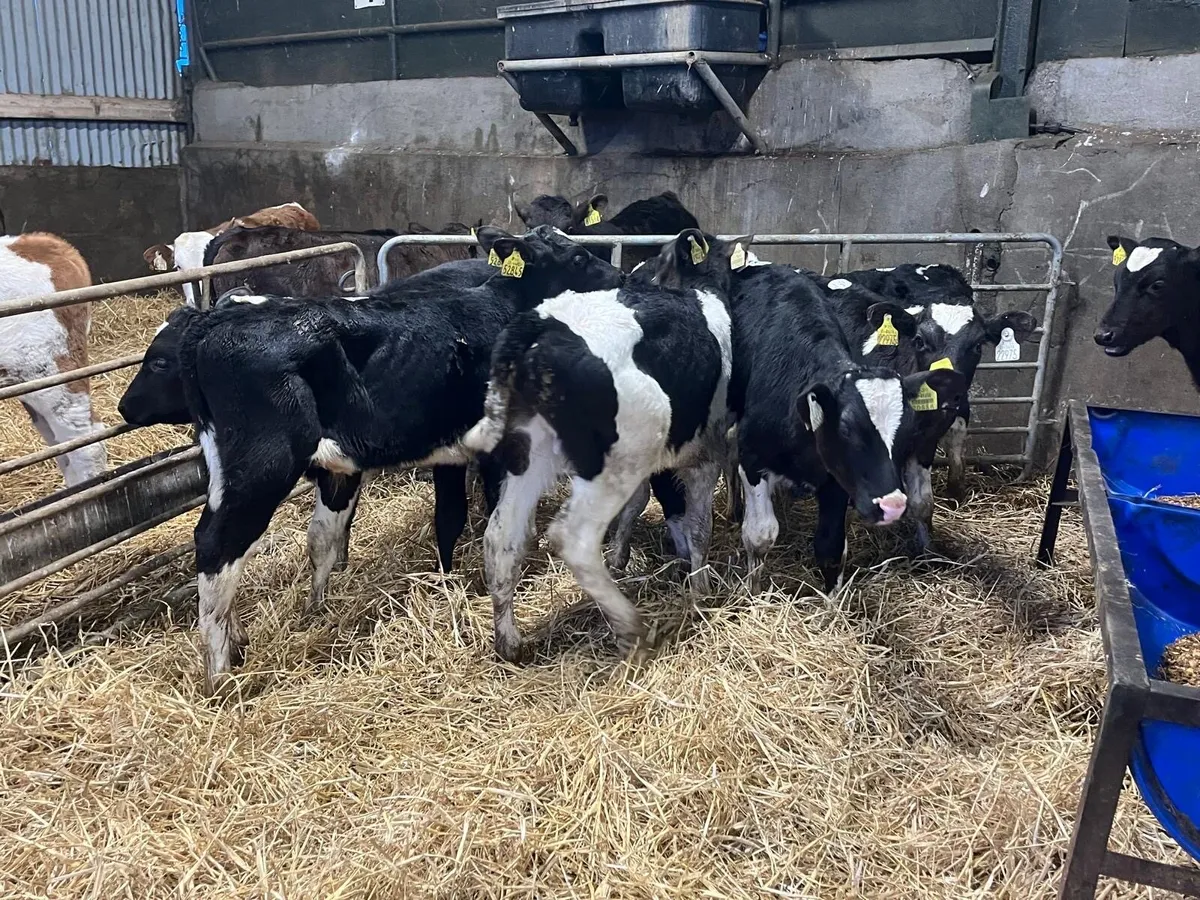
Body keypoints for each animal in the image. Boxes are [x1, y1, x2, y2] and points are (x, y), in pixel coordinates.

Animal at [125, 226, 622, 693]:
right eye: (579, 256)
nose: (619, 277)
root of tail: (213, 323)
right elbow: (496, 535)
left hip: (228, 468)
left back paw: (244, 638)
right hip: (262, 467)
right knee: (217, 544)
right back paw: (220, 674)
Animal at [461, 229, 743, 663]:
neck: (701, 291)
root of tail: (538, 326)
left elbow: (638, 504)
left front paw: (621, 556)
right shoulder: (704, 453)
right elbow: (699, 527)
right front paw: (701, 591)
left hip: (531, 453)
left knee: (501, 535)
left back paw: (509, 642)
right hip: (619, 456)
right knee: (572, 538)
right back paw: (632, 628)